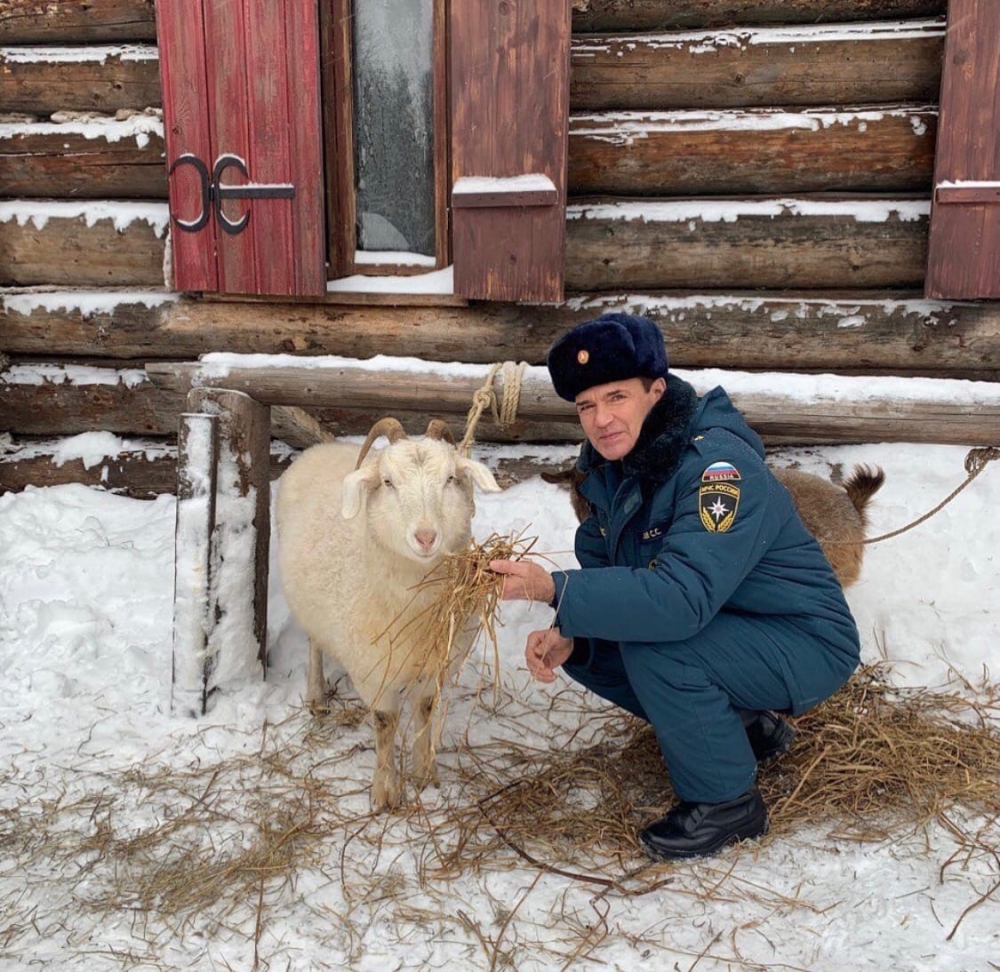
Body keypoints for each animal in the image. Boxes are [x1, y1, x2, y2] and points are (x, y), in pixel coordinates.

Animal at [278, 418, 500, 812]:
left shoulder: (438, 665)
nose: (426, 537)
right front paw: (384, 792)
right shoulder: (372, 670)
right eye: (387, 482)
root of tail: (322, 448)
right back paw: (316, 695)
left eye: (450, 479)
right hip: (309, 607)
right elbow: (385, 724)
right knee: (315, 645)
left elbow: (425, 710)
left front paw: (423, 772)